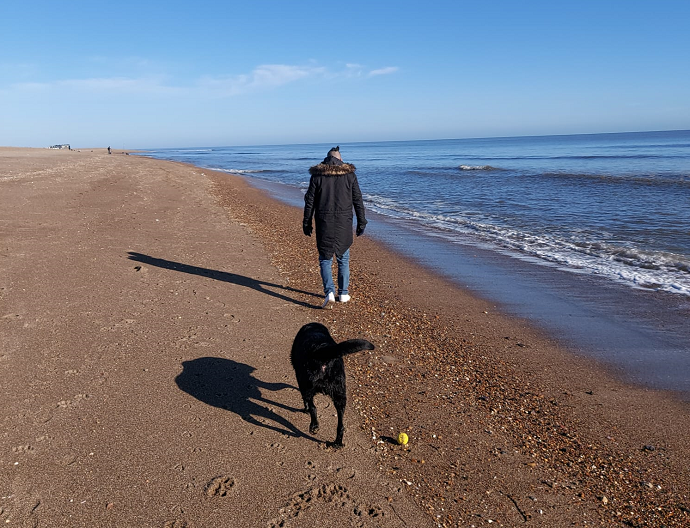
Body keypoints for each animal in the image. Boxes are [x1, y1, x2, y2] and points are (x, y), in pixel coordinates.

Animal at [288, 320, 374, 448]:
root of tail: (322, 351)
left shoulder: (300, 381)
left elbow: (307, 403)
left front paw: (306, 409)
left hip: (307, 385)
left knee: (313, 407)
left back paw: (314, 426)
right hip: (340, 394)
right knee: (341, 425)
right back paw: (337, 443)